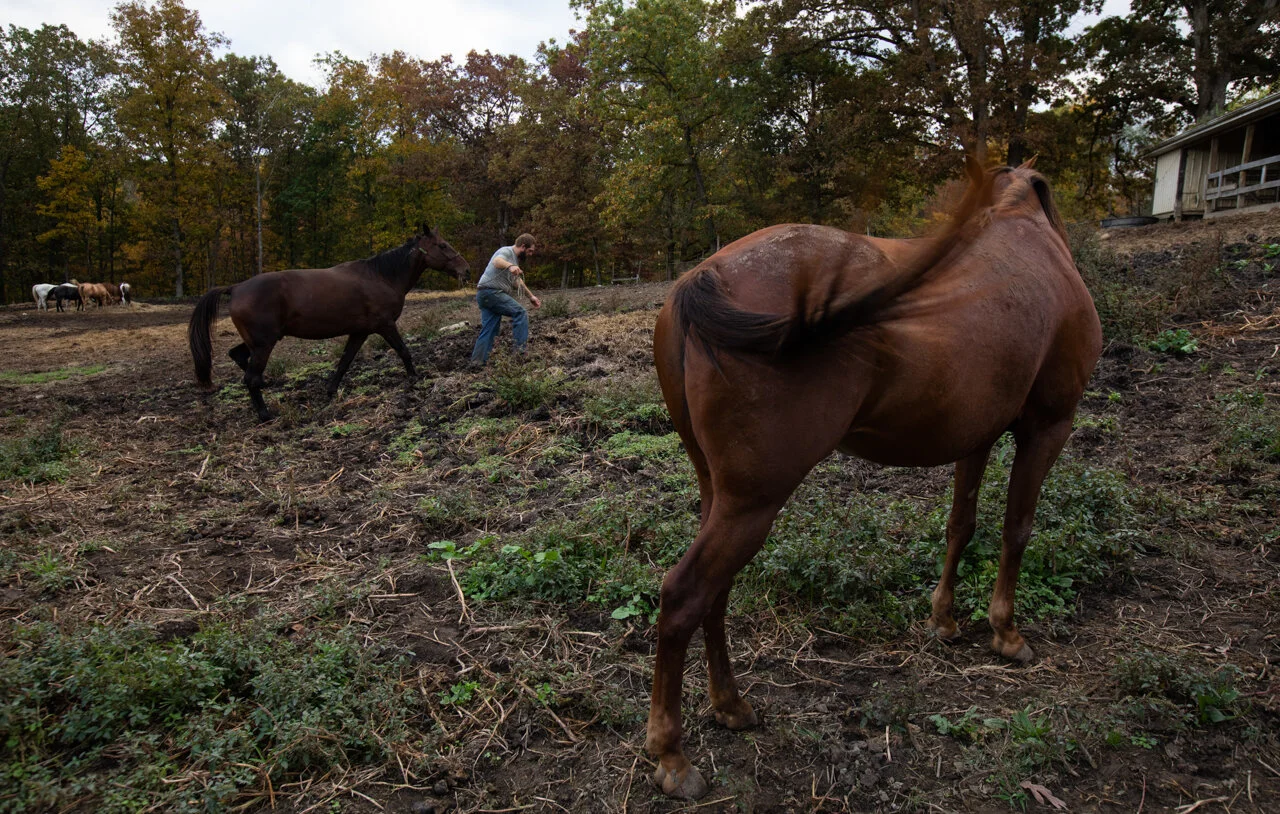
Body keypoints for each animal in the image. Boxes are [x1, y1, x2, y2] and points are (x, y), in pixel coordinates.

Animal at [189, 223, 470, 422]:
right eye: (443, 245)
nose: (466, 270)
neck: (381, 277)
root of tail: (236, 288)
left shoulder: (359, 332)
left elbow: (345, 362)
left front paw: (331, 391)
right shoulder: (385, 325)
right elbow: (403, 351)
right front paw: (414, 378)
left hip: (259, 342)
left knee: (239, 358)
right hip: (263, 344)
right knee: (250, 378)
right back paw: (265, 414)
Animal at [645, 158, 1102, 799]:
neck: (1031, 236)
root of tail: (701, 278)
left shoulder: (977, 437)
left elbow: (961, 526)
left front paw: (944, 621)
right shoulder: (1047, 429)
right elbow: (1017, 529)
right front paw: (1006, 633)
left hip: (722, 497)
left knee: (716, 593)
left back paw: (730, 706)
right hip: (751, 504)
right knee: (684, 594)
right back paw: (672, 755)